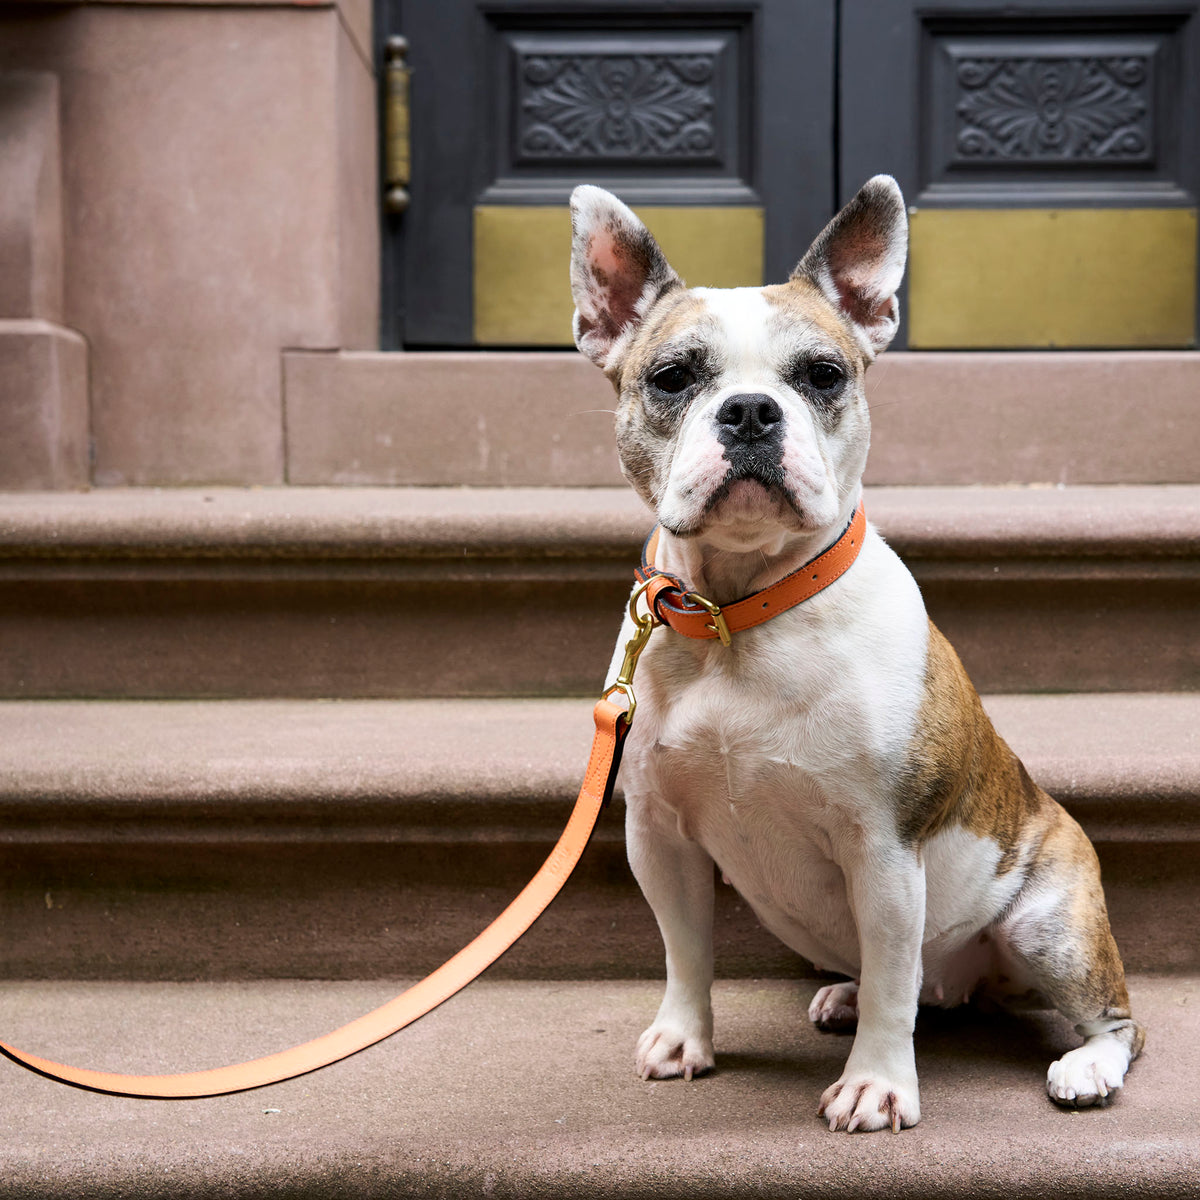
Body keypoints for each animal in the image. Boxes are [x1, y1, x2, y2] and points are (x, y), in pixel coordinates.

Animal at [564, 174, 1142, 1128]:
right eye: (673, 377)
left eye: (822, 375)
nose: (751, 411)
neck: (742, 611)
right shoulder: (661, 837)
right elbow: (686, 950)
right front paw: (684, 1037)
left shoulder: (883, 850)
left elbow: (891, 983)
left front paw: (877, 1085)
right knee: (907, 986)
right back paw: (845, 994)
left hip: (1046, 926)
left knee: (1103, 1017)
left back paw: (1087, 1066)